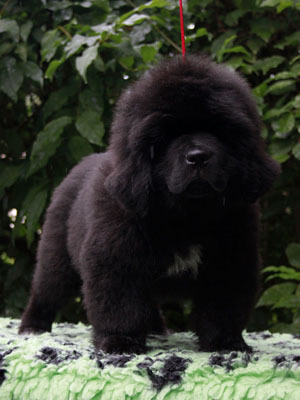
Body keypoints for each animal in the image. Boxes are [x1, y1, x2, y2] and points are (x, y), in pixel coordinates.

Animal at [19, 55, 280, 354]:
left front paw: (225, 343)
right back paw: (32, 327)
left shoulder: (230, 260)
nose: (198, 156)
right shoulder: (116, 258)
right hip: (56, 255)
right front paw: (121, 342)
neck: (188, 214)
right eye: (167, 136)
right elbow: (120, 305)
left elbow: (222, 307)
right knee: (45, 291)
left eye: (219, 131)